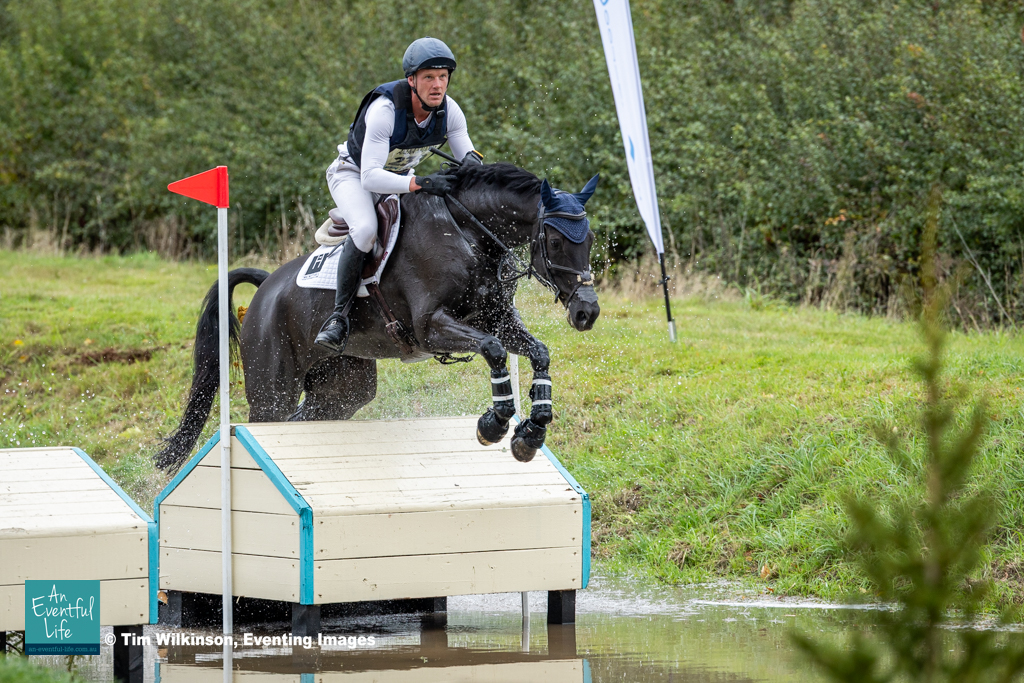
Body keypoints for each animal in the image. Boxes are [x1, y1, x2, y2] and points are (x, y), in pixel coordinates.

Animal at [156, 162, 601, 471]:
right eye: (556, 241)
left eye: (591, 238)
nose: (587, 312)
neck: (466, 233)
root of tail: (267, 287)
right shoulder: (431, 327)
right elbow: (493, 350)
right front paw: (494, 423)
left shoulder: (499, 320)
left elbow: (538, 352)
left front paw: (532, 431)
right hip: (272, 388)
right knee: (270, 418)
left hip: (343, 390)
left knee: (308, 417)